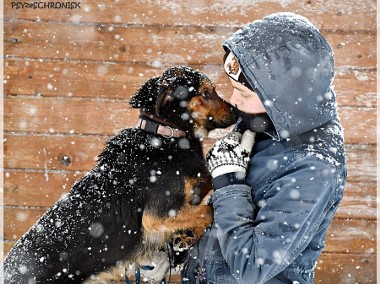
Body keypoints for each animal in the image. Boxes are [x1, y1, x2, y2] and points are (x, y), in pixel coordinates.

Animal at [3, 66, 238, 282]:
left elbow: (207, 186)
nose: (237, 112)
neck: (165, 136)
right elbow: (207, 211)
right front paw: (187, 235)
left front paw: (184, 238)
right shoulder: (159, 215)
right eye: (206, 93)